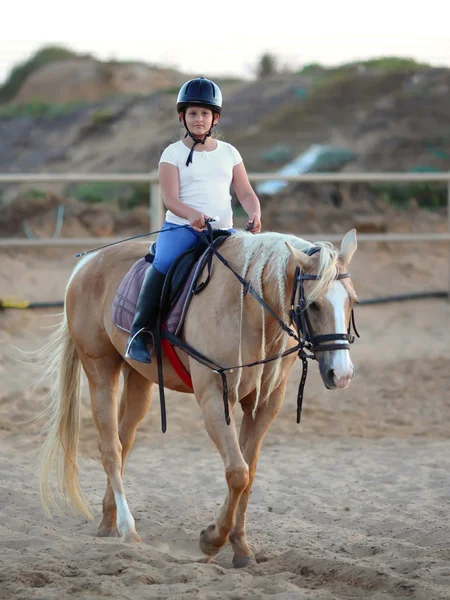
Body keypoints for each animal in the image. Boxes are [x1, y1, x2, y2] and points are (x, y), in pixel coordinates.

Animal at [40, 229, 360, 568]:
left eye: (352, 301)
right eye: (313, 305)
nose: (341, 374)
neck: (249, 306)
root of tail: (87, 263)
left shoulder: (264, 404)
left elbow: (248, 474)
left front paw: (241, 549)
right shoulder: (214, 399)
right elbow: (237, 473)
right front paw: (211, 541)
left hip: (138, 378)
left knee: (123, 443)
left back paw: (108, 522)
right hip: (100, 371)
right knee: (110, 449)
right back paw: (128, 530)